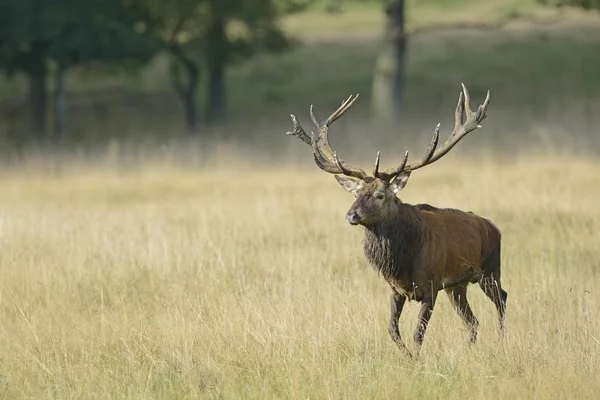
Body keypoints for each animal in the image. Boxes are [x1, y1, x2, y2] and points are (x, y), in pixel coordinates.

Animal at [284, 83, 506, 356]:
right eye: (356, 193)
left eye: (380, 195)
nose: (351, 215)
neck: (403, 262)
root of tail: (494, 228)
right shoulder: (395, 289)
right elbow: (392, 329)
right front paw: (407, 357)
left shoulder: (431, 286)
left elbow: (418, 333)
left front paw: (417, 359)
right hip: (457, 286)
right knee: (473, 321)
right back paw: (470, 349)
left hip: (490, 270)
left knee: (502, 299)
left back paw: (501, 340)